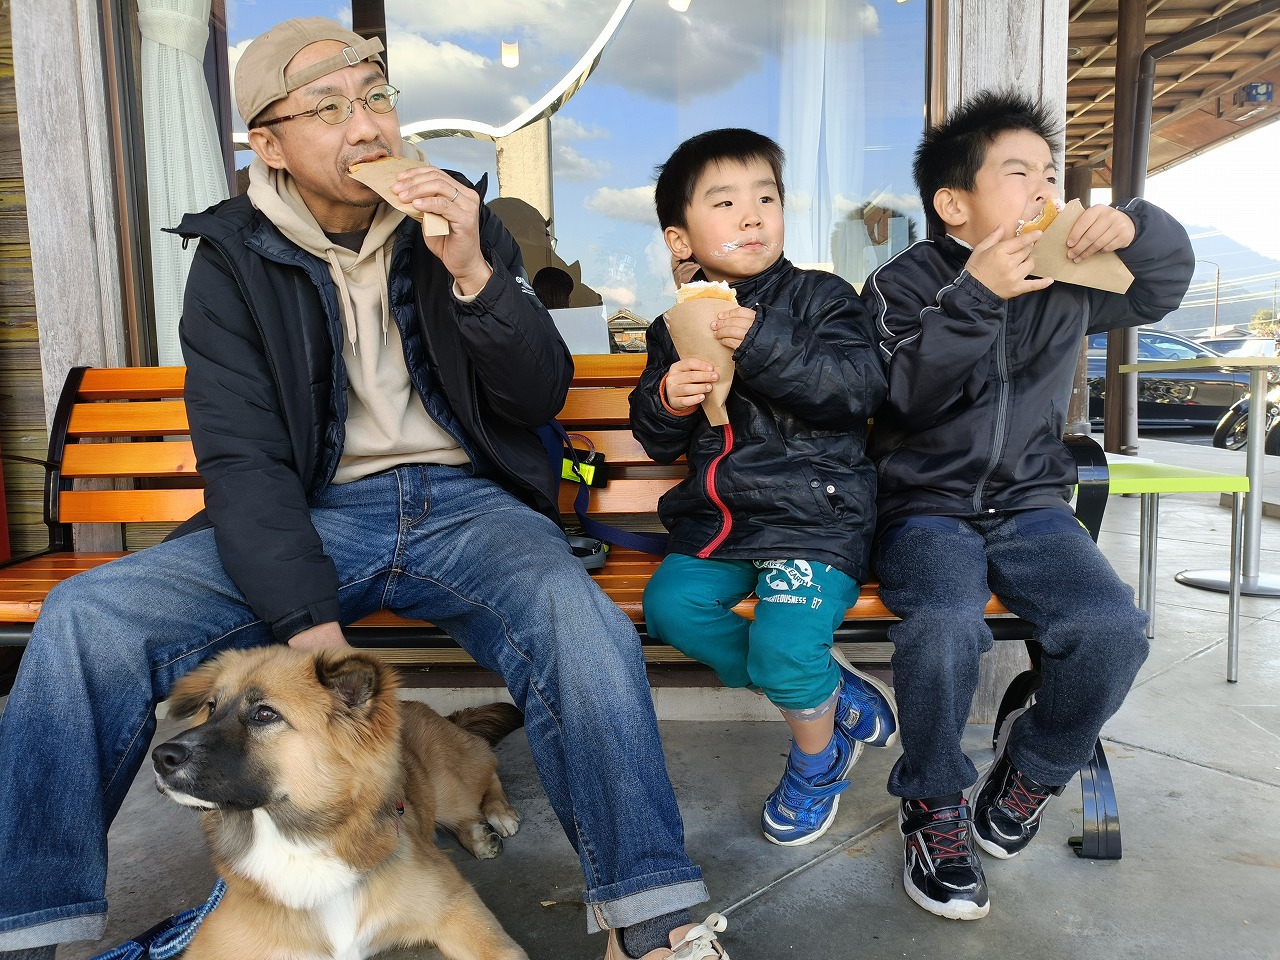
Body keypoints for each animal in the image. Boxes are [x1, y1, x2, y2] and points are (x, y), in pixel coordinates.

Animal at [151, 647, 529, 960]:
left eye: (265, 714)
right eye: (212, 707)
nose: (160, 757)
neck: (298, 843)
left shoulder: (458, 909)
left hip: (450, 787)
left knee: (486, 764)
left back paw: (498, 814)